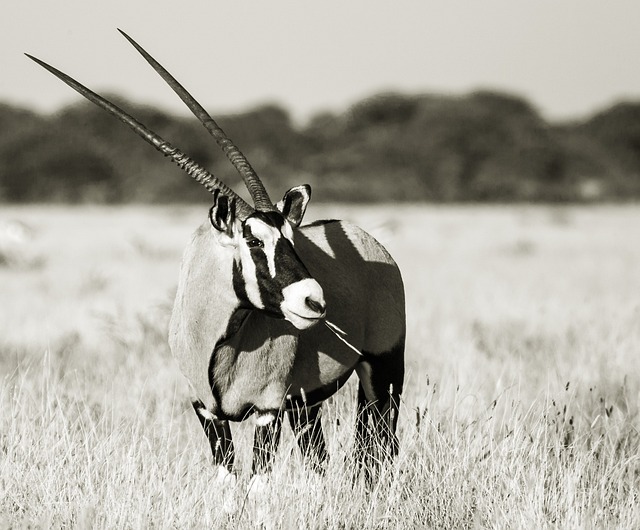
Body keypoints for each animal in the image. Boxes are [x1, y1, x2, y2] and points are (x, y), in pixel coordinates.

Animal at [27, 30, 405, 485]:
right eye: (254, 241)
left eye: (290, 238)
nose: (314, 301)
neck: (221, 339)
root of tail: (372, 242)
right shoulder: (207, 411)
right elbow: (226, 479)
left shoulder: (266, 411)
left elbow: (258, 483)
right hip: (307, 405)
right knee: (321, 456)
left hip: (383, 370)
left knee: (381, 448)